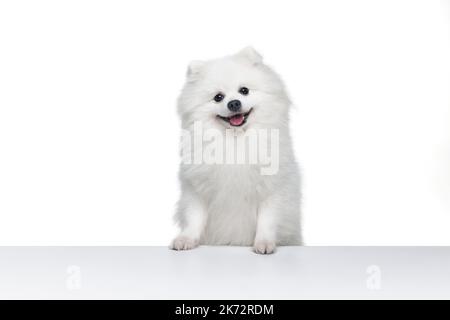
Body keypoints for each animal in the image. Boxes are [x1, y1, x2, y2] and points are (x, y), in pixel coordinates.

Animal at [171, 47, 300, 255]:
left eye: (244, 90)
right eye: (218, 97)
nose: (234, 103)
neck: (236, 140)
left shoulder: (272, 189)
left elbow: (267, 220)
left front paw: (264, 243)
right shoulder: (197, 189)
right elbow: (194, 217)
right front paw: (186, 239)